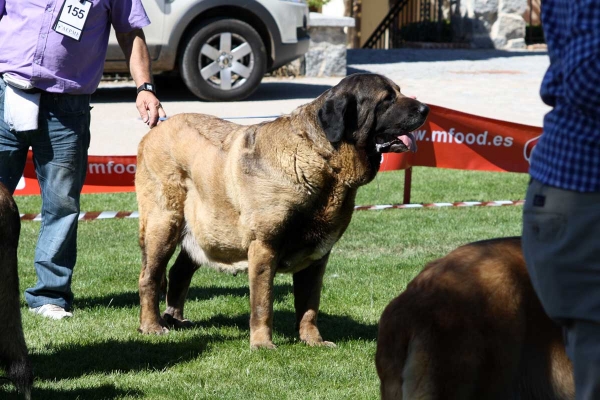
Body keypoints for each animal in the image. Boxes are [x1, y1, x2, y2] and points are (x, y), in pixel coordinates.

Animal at [134, 73, 428, 348]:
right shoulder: (265, 246)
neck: (322, 161)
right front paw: (262, 343)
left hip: (206, 230)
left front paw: (313, 340)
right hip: (164, 223)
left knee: (179, 272)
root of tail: (156, 129)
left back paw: (175, 318)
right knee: (150, 276)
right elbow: (263, 302)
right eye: (387, 99)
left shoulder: (318, 256)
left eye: (399, 92)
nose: (425, 108)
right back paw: (152, 326)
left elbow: (309, 305)